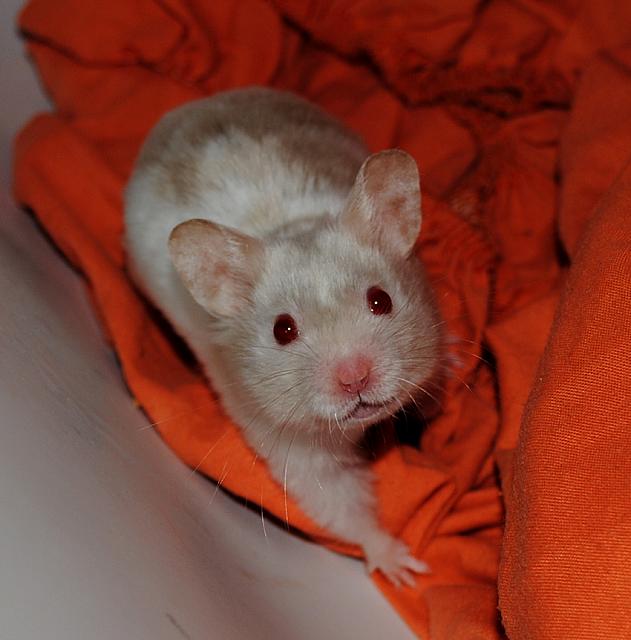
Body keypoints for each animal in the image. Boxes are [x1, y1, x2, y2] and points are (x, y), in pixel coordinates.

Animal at [124, 87, 442, 586]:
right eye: (283, 330)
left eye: (381, 300)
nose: (355, 378)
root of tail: (187, 108)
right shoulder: (292, 446)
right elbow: (343, 508)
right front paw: (406, 569)